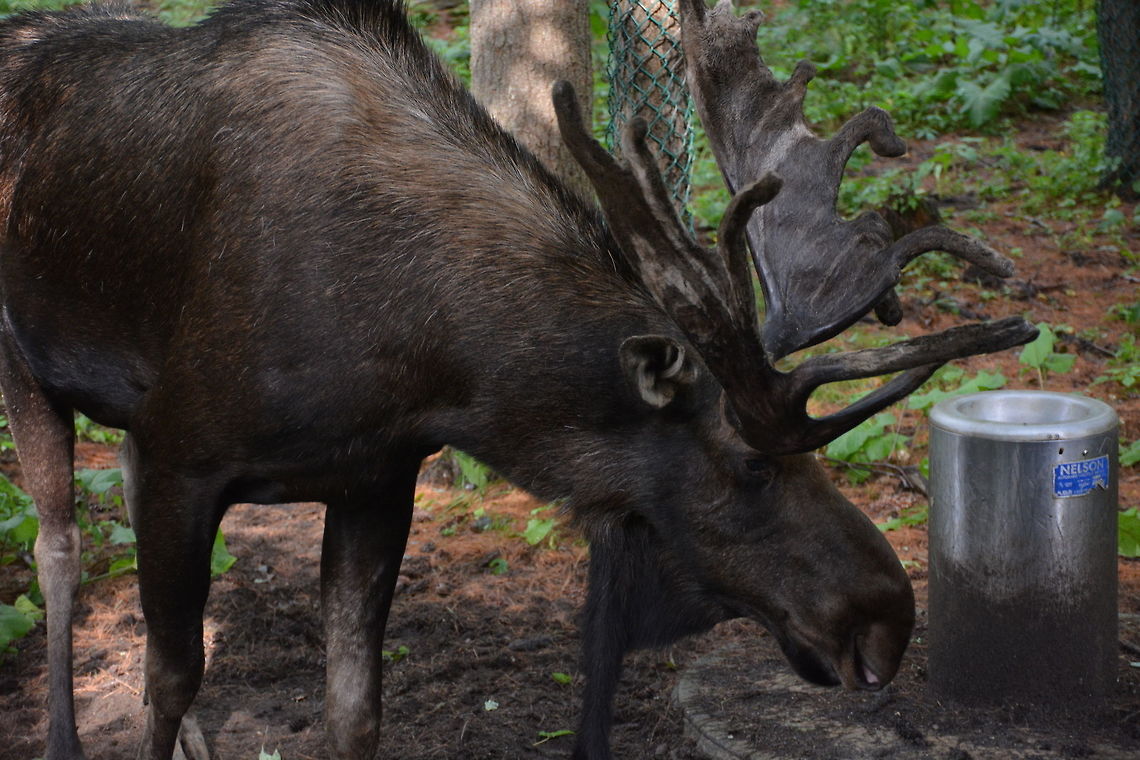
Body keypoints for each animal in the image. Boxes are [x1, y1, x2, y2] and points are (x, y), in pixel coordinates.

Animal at [0, 1, 1035, 759]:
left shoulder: (376, 478)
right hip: (30, 372)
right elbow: (167, 679)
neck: (424, 363)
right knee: (59, 547)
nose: (889, 618)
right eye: (751, 465)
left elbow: (353, 713)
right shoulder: (182, 450)